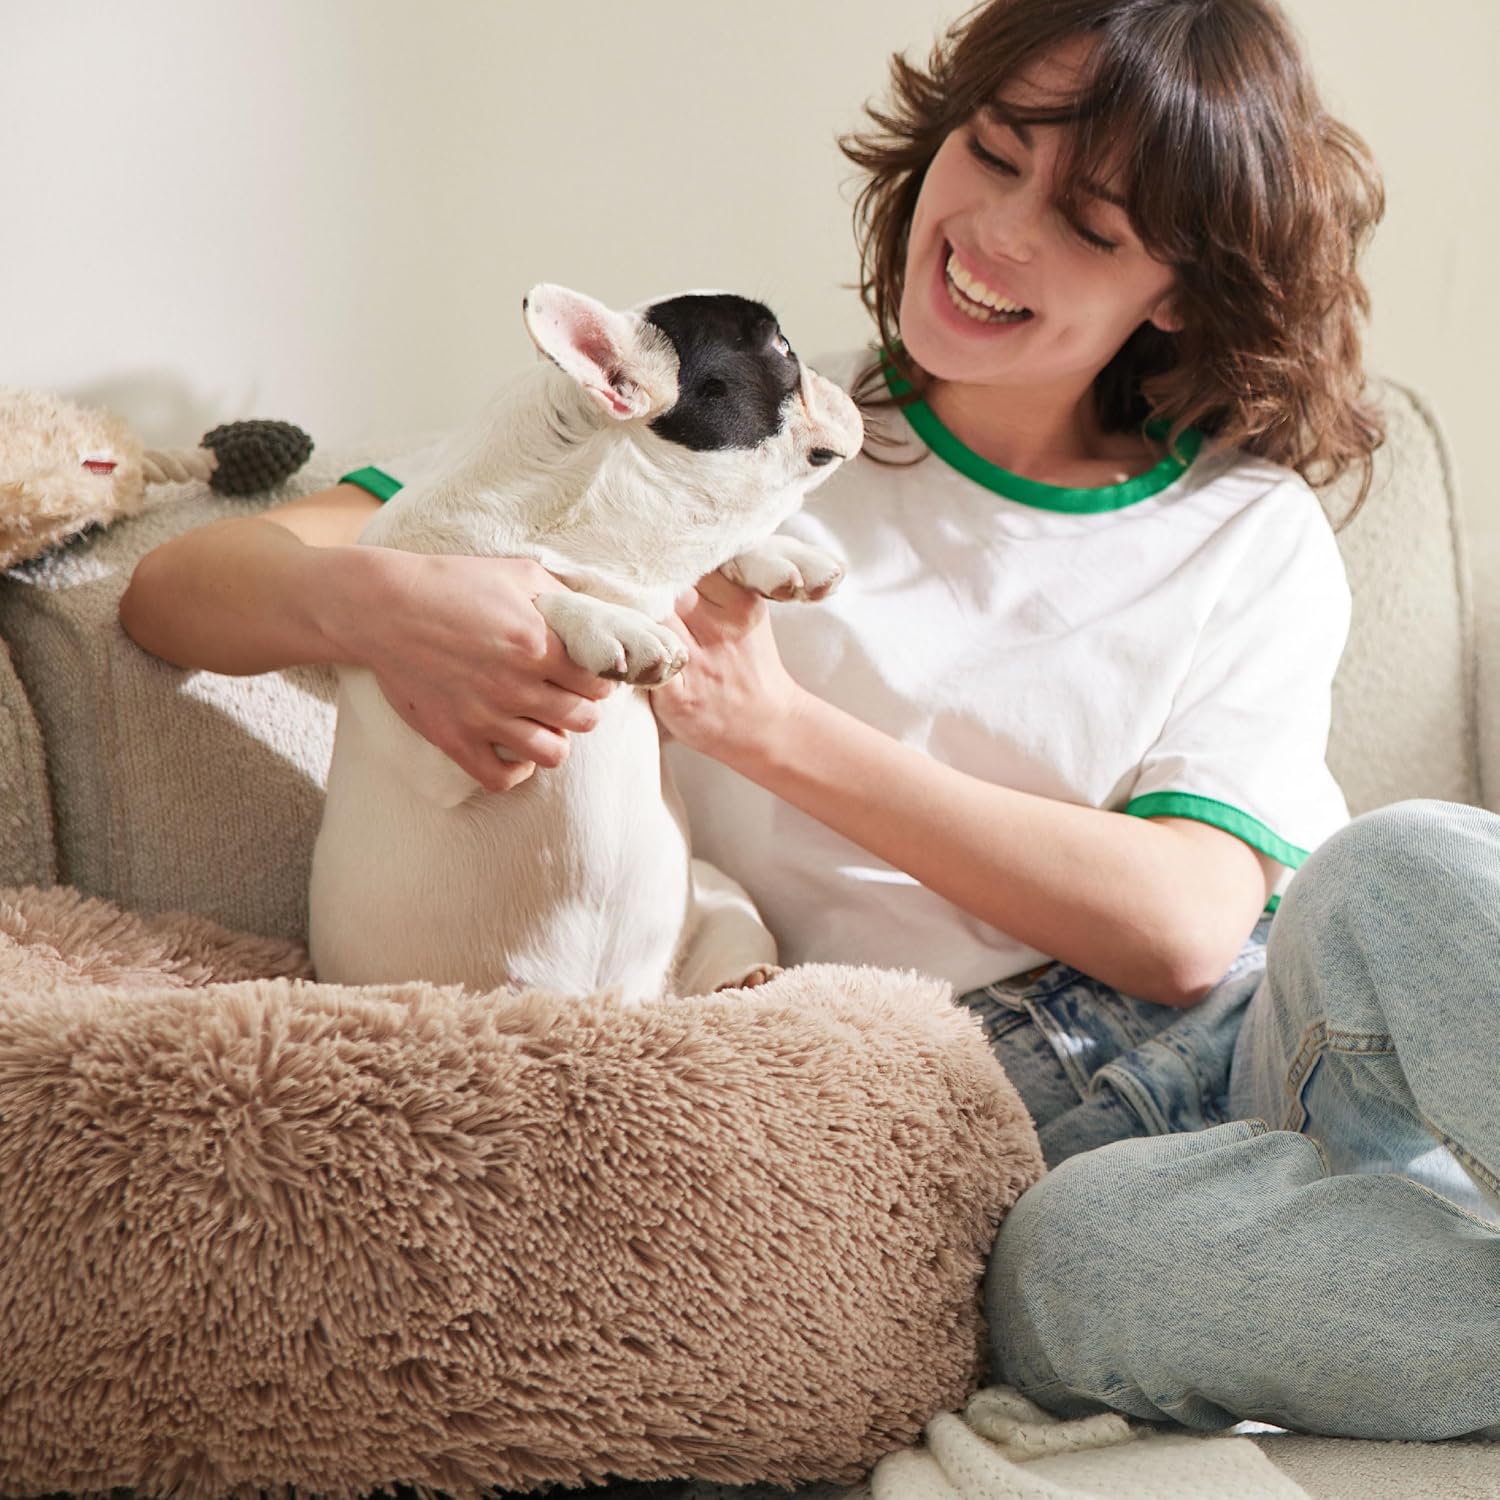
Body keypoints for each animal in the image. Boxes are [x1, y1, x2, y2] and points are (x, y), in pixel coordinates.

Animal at [309, 285, 864, 1002]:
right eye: (781, 348)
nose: (832, 372)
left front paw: (783, 556)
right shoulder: (433, 740)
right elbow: (532, 590)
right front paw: (608, 625)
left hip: (717, 896)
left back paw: (742, 982)